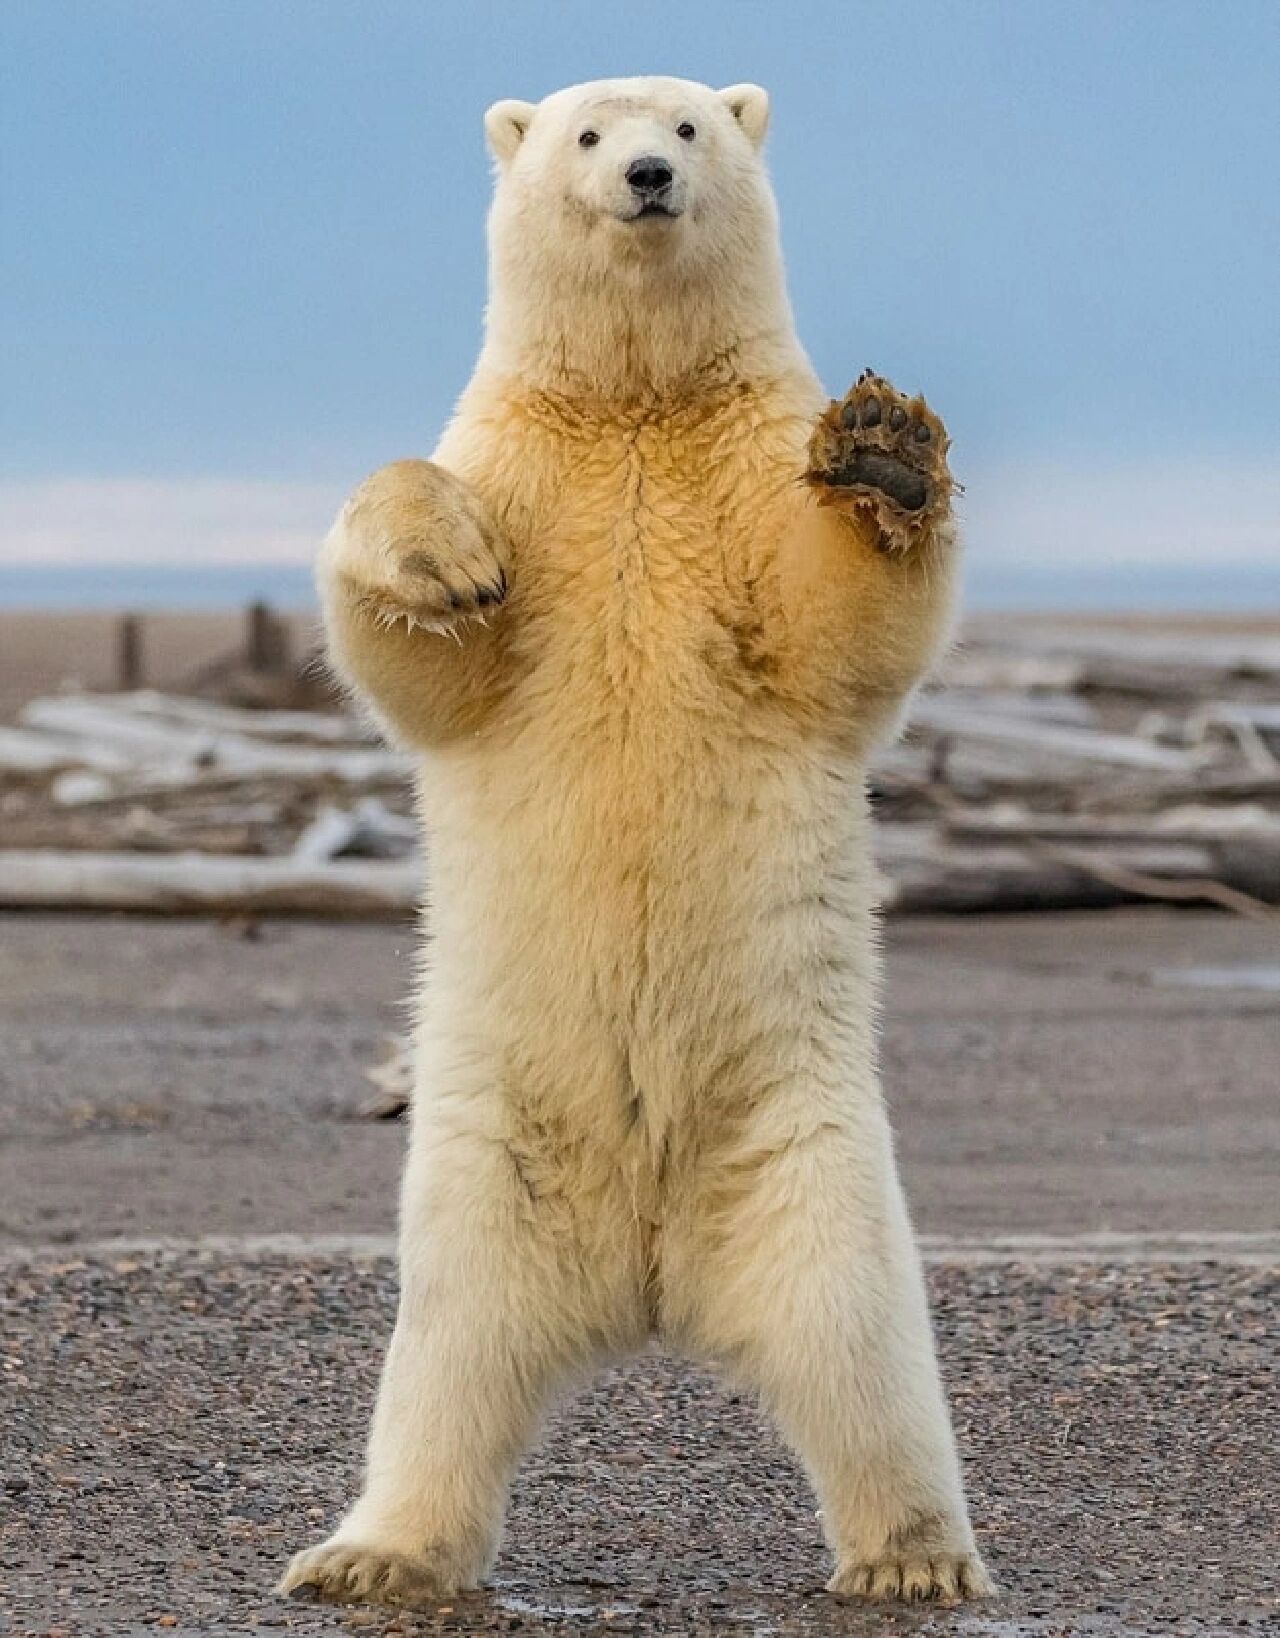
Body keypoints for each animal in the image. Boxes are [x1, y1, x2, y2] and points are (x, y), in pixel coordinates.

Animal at [281, 73, 989, 1598]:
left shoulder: (744, 471)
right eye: (586, 134)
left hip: (805, 1144)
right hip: (489, 1166)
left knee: (859, 1343)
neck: (635, 407)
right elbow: (425, 658)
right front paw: (442, 560)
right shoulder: (523, 465)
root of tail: (652, 1279)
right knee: (445, 1360)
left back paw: (911, 1555)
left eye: (691, 126)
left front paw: (888, 448)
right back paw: (373, 1554)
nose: (650, 176)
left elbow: (831, 626)